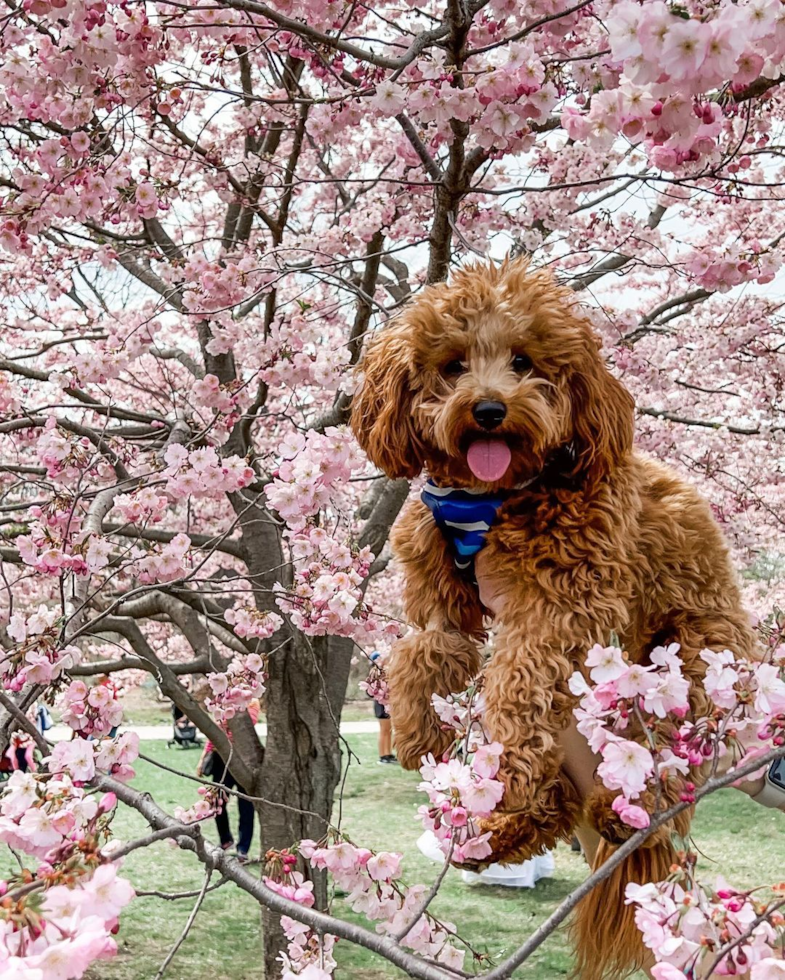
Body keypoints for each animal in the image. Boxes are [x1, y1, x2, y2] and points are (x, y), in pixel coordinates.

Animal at [350, 260, 752, 980]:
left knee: (665, 765)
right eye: (453, 364)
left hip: (696, 660)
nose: (487, 408)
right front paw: (421, 730)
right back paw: (497, 833)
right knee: (555, 803)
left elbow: (515, 680)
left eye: (524, 361)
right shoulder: (438, 593)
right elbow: (423, 650)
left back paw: (615, 810)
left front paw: (503, 760)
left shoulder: (563, 602)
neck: (492, 499)